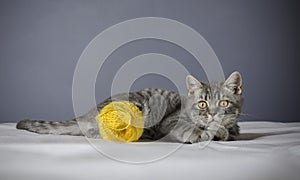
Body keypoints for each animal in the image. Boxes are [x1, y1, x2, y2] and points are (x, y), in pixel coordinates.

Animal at [16, 71, 243, 143]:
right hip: (137, 106)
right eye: (202, 103)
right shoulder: (170, 120)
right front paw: (201, 133)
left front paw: (221, 131)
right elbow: (189, 127)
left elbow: (229, 132)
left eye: (223, 103)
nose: (212, 114)